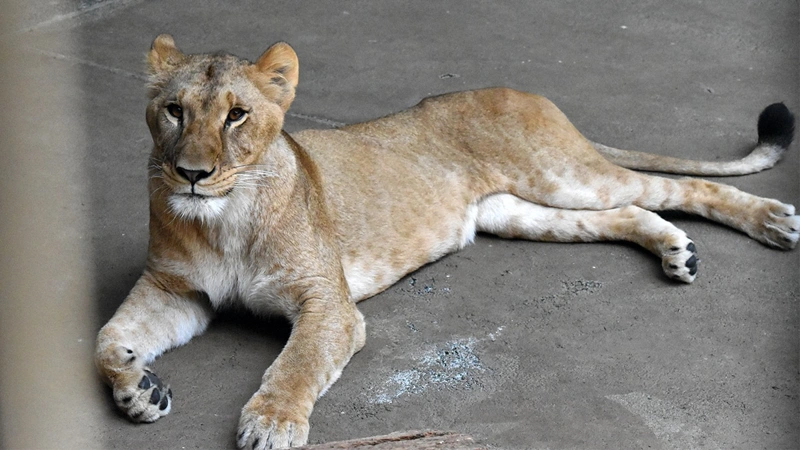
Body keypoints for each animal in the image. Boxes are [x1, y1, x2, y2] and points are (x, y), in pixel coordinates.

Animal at [95, 34, 797, 449]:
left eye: (236, 115)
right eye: (175, 111)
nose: (191, 173)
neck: (224, 217)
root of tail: (523, 90)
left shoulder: (328, 303)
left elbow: (297, 364)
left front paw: (271, 423)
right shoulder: (177, 290)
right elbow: (106, 341)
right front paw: (140, 389)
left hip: (565, 176)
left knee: (674, 184)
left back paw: (772, 222)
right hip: (521, 211)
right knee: (630, 211)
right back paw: (678, 251)